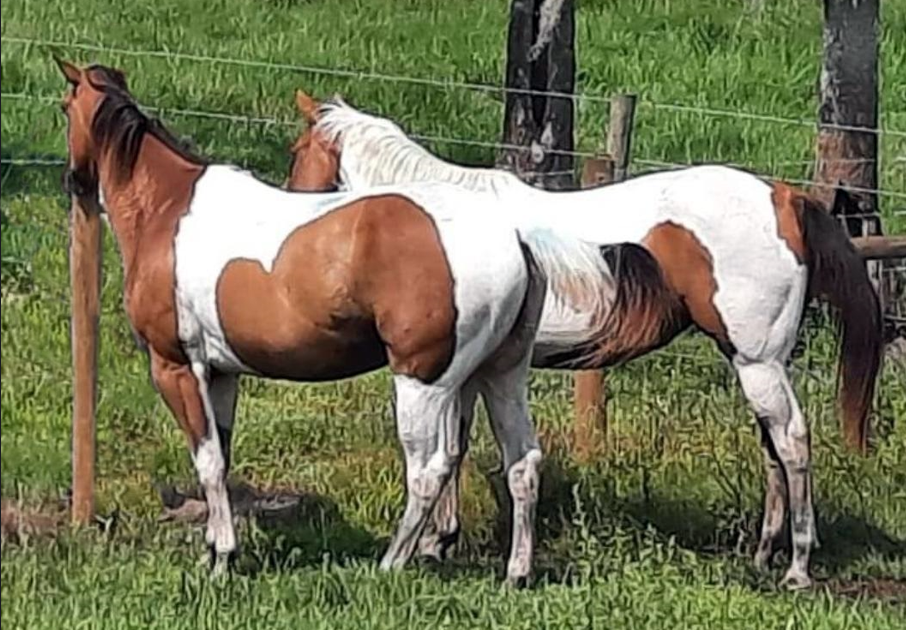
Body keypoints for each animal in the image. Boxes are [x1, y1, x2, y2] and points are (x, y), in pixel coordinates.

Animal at [54, 59, 646, 585]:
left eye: (64, 106)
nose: (75, 181)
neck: (169, 210)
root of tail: (514, 234)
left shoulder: (177, 368)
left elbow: (208, 462)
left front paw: (221, 558)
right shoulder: (222, 374)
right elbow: (221, 457)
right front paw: (214, 552)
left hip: (423, 384)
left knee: (429, 468)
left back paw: (393, 562)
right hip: (500, 375)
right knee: (522, 462)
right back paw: (516, 573)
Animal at [285, 91, 883, 589]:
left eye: (297, 151)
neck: (438, 221)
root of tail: (781, 196)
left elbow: (446, 453)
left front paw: (431, 545)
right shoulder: (470, 372)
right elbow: (455, 450)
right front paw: (440, 541)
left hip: (757, 361)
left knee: (792, 441)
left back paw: (798, 566)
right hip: (757, 361)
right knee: (772, 448)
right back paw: (764, 554)